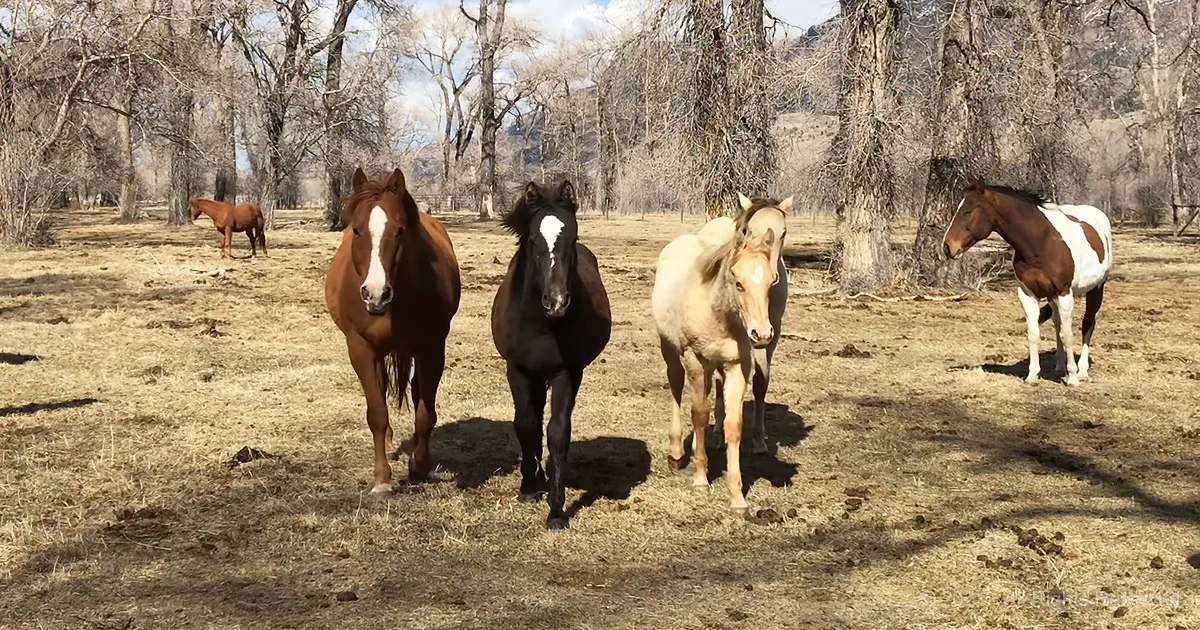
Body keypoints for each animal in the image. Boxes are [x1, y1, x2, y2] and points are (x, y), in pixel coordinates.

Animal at [324, 167, 461, 494]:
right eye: (357, 230)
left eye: (400, 231)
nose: (376, 294)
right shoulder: (360, 348)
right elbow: (376, 413)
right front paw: (382, 479)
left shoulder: (432, 348)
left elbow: (425, 413)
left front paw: (419, 467)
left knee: (416, 392)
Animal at [490, 180, 611, 529]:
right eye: (533, 240)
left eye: (573, 238)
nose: (556, 301)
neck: (542, 325)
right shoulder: (517, 370)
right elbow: (526, 424)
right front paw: (529, 487)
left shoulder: (566, 373)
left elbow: (557, 432)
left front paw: (556, 510)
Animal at [652, 209, 778, 515]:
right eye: (739, 283)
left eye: (772, 282)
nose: (762, 334)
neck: (719, 315)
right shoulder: (695, 360)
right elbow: (698, 414)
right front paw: (700, 479)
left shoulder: (737, 366)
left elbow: (733, 425)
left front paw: (737, 497)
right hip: (671, 352)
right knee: (677, 389)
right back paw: (677, 453)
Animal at [704, 193, 793, 454]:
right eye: (749, 231)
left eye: (783, 233)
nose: (771, 277)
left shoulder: (769, 335)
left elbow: (761, 382)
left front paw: (759, 440)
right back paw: (716, 434)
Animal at [943, 178, 1113, 386]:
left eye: (968, 211)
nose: (947, 247)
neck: (1041, 243)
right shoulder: (1027, 294)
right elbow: (1034, 333)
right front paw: (1032, 375)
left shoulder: (1064, 293)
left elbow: (1067, 334)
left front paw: (1072, 377)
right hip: (1052, 296)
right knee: (1057, 322)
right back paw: (1060, 365)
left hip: (1096, 288)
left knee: (1088, 323)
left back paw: (1081, 371)